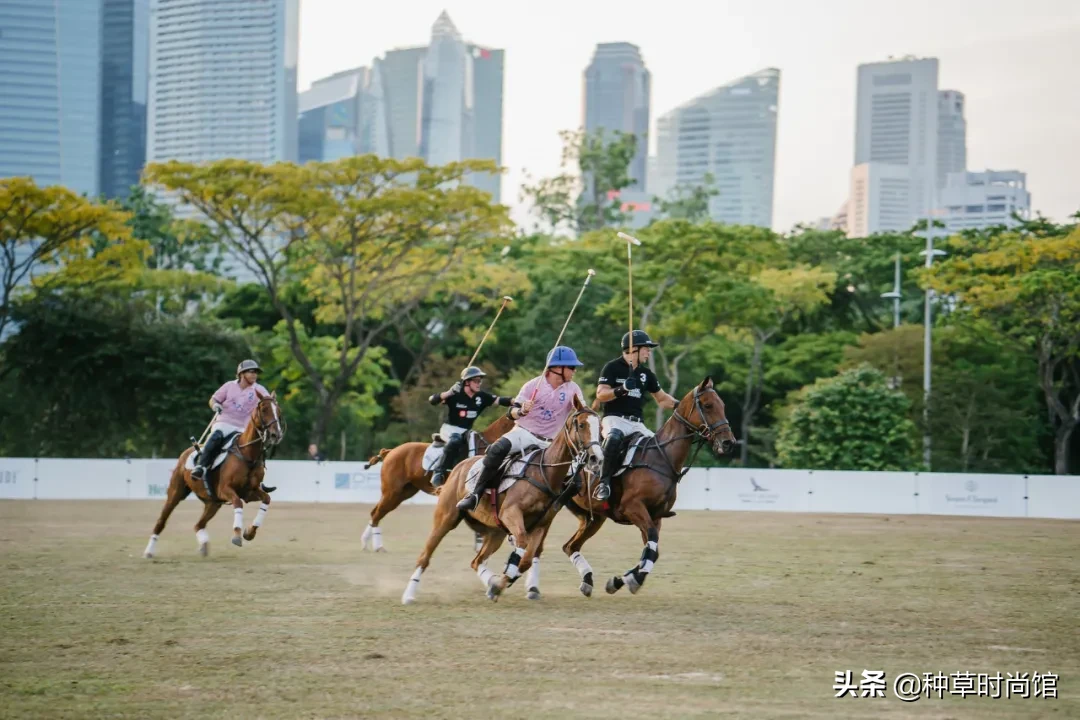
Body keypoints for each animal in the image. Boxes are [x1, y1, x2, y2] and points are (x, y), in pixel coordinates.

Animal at [143, 390, 287, 561]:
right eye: (264, 409)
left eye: (278, 411)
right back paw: (149, 551)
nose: (276, 434)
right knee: (162, 521)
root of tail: (187, 451)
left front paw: (249, 533)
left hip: (213, 502)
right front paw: (237, 535)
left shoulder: (249, 492)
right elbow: (238, 503)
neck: (248, 455)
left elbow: (266, 499)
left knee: (198, 524)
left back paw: (204, 546)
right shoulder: (225, 489)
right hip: (176, 492)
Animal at [360, 410, 516, 552]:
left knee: (376, 513)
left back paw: (366, 543)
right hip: (392, 492)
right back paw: (376, 546)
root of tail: (390, 452)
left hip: (404, 492)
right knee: (376, 513)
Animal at [401, 397, 604, 604]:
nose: (596, 458)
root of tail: (457, 467)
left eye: (600, 427)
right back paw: (409, 594)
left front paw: (500, 584)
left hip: (495, 532)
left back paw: (491, 582)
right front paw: (502, 583)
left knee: (476, 561)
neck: (544, 472)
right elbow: (521, 543)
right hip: (445, 518)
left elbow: (526, 560)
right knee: (425, 556)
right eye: (581, 425)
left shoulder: (541, 524)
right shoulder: (510, 513)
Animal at [557, 379, 734, 600]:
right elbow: (651, 544)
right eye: (708, 405)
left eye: (723, 406)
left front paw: (620, 581)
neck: (662, 458)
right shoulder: (632, 508)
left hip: (593, 518)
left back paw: (587, 581)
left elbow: (652, 550)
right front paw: (632, 580)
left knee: (570, 546)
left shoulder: (655, 516)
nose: (728, 442)